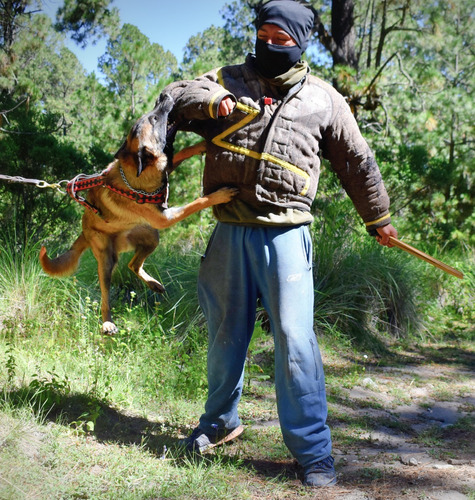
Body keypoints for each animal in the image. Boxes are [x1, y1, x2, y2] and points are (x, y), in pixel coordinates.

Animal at [40, 94, 235, 336]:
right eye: (154, 118)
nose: (164, 96)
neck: (135, 173)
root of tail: (84, 232)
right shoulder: (166, 218)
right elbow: (197, 202)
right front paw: (220, 195)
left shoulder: (165, 170)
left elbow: (180, 154)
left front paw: (202, 145)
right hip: (107, 259)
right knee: (105, 297)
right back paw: (108, 323)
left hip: (150, 236)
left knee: (133, 265)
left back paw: (153, 284)